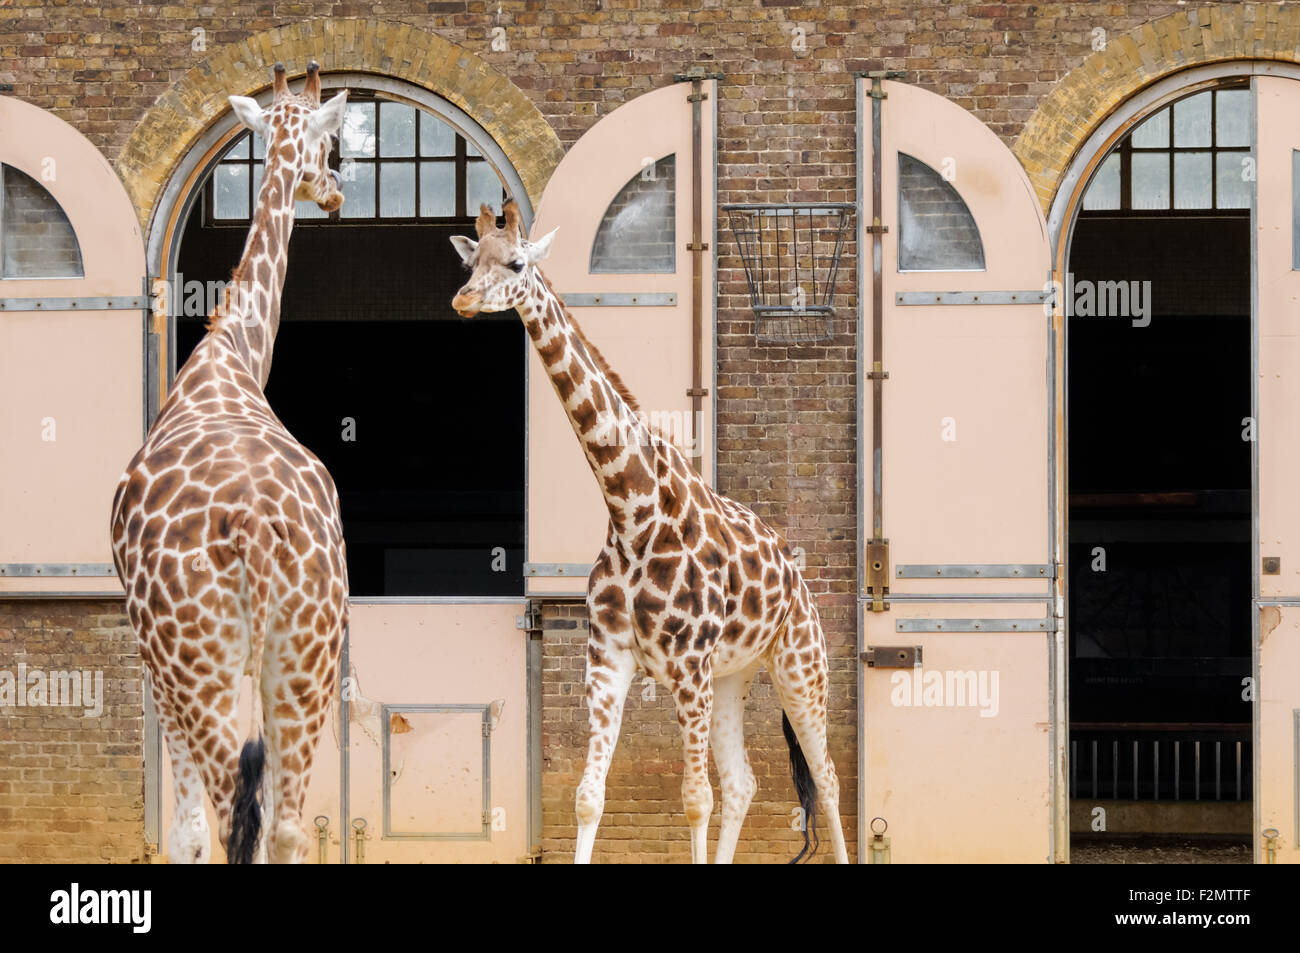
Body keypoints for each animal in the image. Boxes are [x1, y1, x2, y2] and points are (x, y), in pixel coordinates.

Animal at [110, 63, 349, 864]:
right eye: (331, 142)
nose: (335, 191)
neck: (230, 358)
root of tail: (251, 526)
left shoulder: (151, 658)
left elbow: (183, 831)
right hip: (306, 657)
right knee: (286, 823)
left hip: (200, 662)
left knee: (227, 813)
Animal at [451, 201, 849, 864]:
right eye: (469, 261)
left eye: (515, 263)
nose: (462, 299)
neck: (631, 510)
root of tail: (798, 576)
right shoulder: (608, 659)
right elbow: (589, 797)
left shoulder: (687, 665)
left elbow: (694, 800)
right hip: (733, 675)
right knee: (743, 781)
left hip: (799, 664)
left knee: (827, 779)